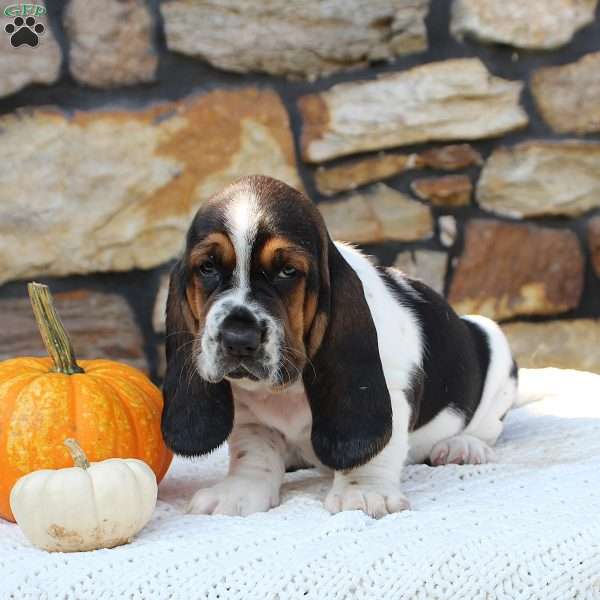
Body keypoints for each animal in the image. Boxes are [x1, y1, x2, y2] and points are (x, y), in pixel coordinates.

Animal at [162, 173, 516, 516]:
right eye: (207, 267)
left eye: (287, 271)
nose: (238, 340)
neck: (287, 390)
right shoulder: (250, 416)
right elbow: (253, 453)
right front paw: (238, 492)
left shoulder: (391, 390)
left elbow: (375, 452)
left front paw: (363, 492)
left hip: (496, 352)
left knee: (487, 428)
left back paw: (463, 446)